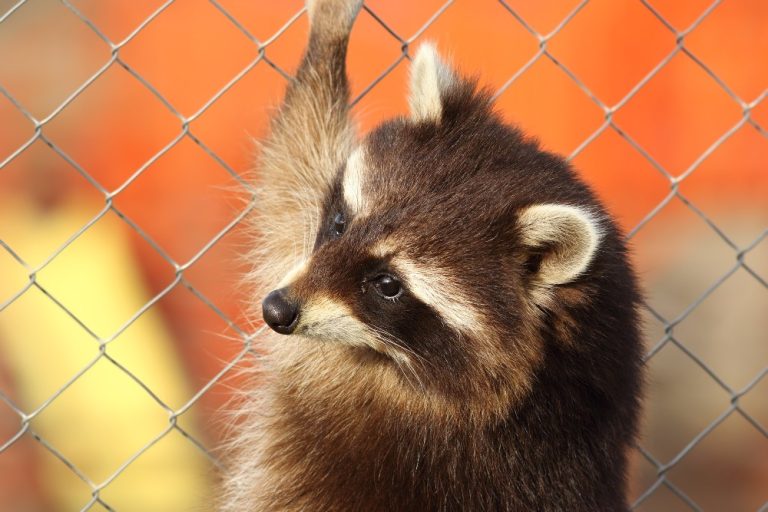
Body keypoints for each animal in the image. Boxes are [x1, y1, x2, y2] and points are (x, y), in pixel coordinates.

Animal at [221, 0, 643, 510]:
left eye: (388, 284)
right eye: (340, 223)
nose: (276, 309)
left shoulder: (342, 380)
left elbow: (290, 175)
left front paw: (327, 42)